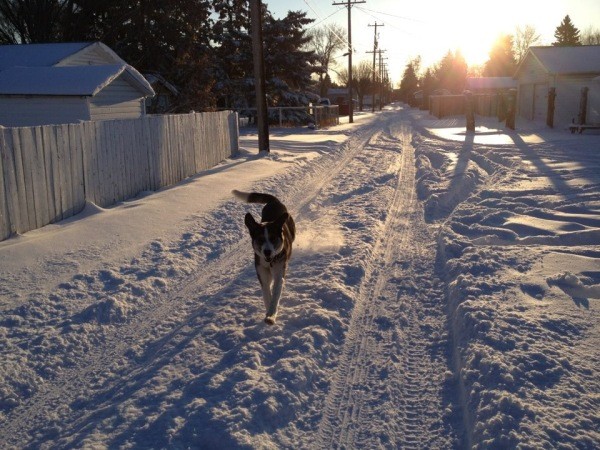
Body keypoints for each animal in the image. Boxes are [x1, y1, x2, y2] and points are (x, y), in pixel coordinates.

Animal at [232, 190, 296, 324]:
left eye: (272, 238)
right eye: (261, 239)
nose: (267, 252)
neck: (270, 262)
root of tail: (274, 201)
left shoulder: (279, 271)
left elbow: (275, 294)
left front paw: (271, 315)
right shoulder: (262, 273)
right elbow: (267, 294)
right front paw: (268, 313)